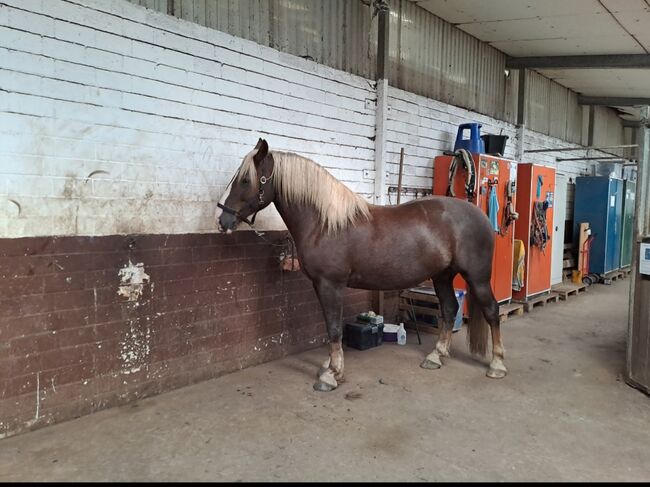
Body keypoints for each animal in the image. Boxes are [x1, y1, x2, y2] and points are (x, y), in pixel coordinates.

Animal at [215, 140, 504, 392]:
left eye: (245, 180)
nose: (221, 220)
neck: (324, 224)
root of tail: (479, 215)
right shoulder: (321, 286)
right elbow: (329, 326)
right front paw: (330, 366)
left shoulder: (330, 285)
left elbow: (333, 327)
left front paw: (332, 375)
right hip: (442, 276)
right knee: (449, 308)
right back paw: (436, 356)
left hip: (477, 277)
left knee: (492, 311)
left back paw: (497, 365)